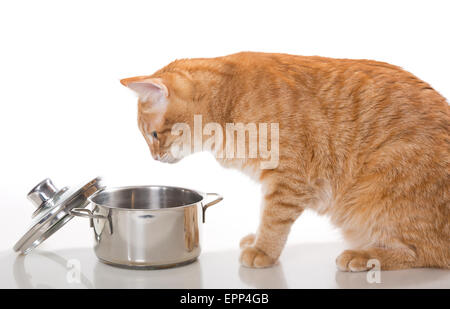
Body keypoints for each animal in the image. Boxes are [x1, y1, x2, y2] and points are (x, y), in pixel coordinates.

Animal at [121, 52, 448, 270]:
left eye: (153, 134)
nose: (154, 157)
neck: (228, 102)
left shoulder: (288, 177)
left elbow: (273, 220)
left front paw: (263, 250)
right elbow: (266, 217)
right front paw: (257, 241)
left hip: (383, 183)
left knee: (423, 252)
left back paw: (365, 255)